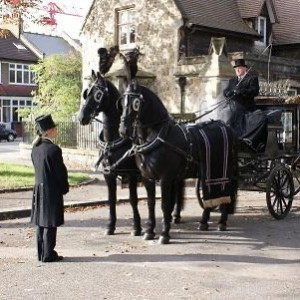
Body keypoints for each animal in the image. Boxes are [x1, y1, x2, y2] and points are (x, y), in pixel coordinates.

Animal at [119, 79, 239, 244]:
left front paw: (164, 234)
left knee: (225, 191)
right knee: (209, 194)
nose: (123, 130)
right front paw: (149, 231)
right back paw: (204, 222)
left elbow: (165, 205)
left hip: (223, 170)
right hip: (209, 172)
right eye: (122, 102)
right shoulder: (147, 178)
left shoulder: (165, 178)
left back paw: (222, 222)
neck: (157, 136)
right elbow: (151, 204)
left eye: (135, 103)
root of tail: (226, 127)